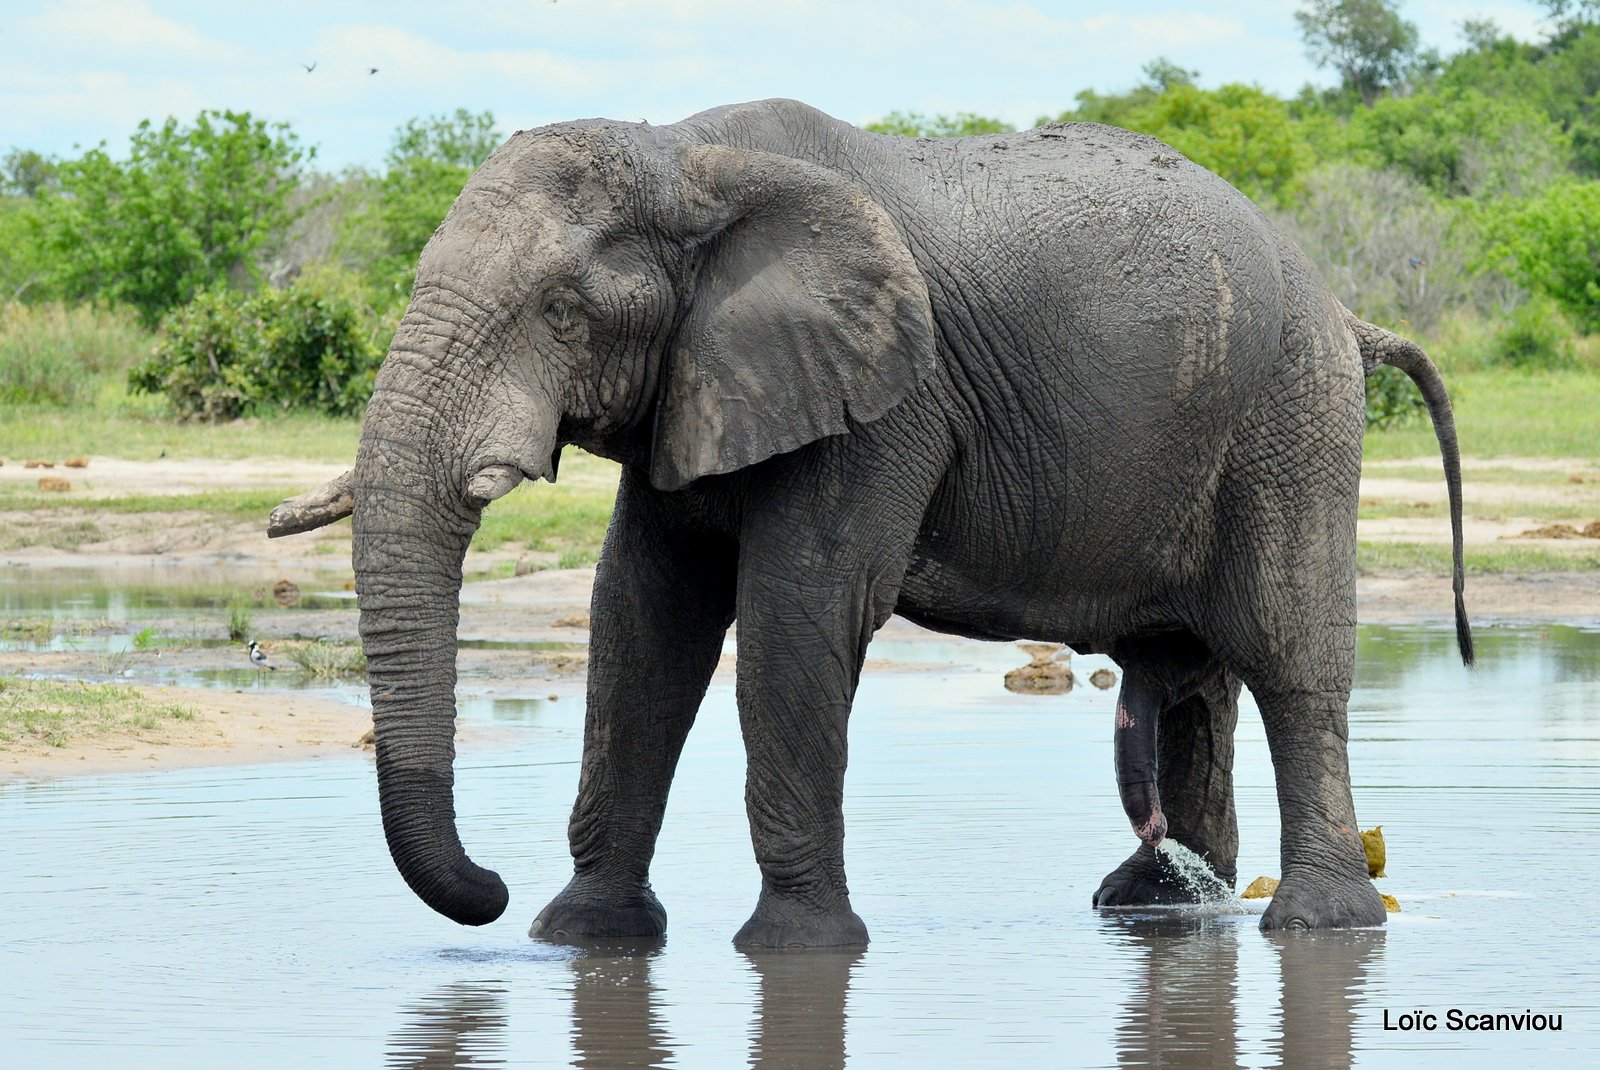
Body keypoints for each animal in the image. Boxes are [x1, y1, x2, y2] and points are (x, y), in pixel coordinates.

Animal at [268, 97, 1465, 940]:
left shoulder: (887, 401)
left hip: (1290, 416)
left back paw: (1315, 926)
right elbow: (641, 623)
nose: (488, 885)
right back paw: (1158, 910)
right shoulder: (696, 387)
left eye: (559, 311)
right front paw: (580, 938)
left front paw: (797, 948)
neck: (682, 155)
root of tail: (1345, 311)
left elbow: (797, 618)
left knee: (1286, 654)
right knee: (1189, 674)